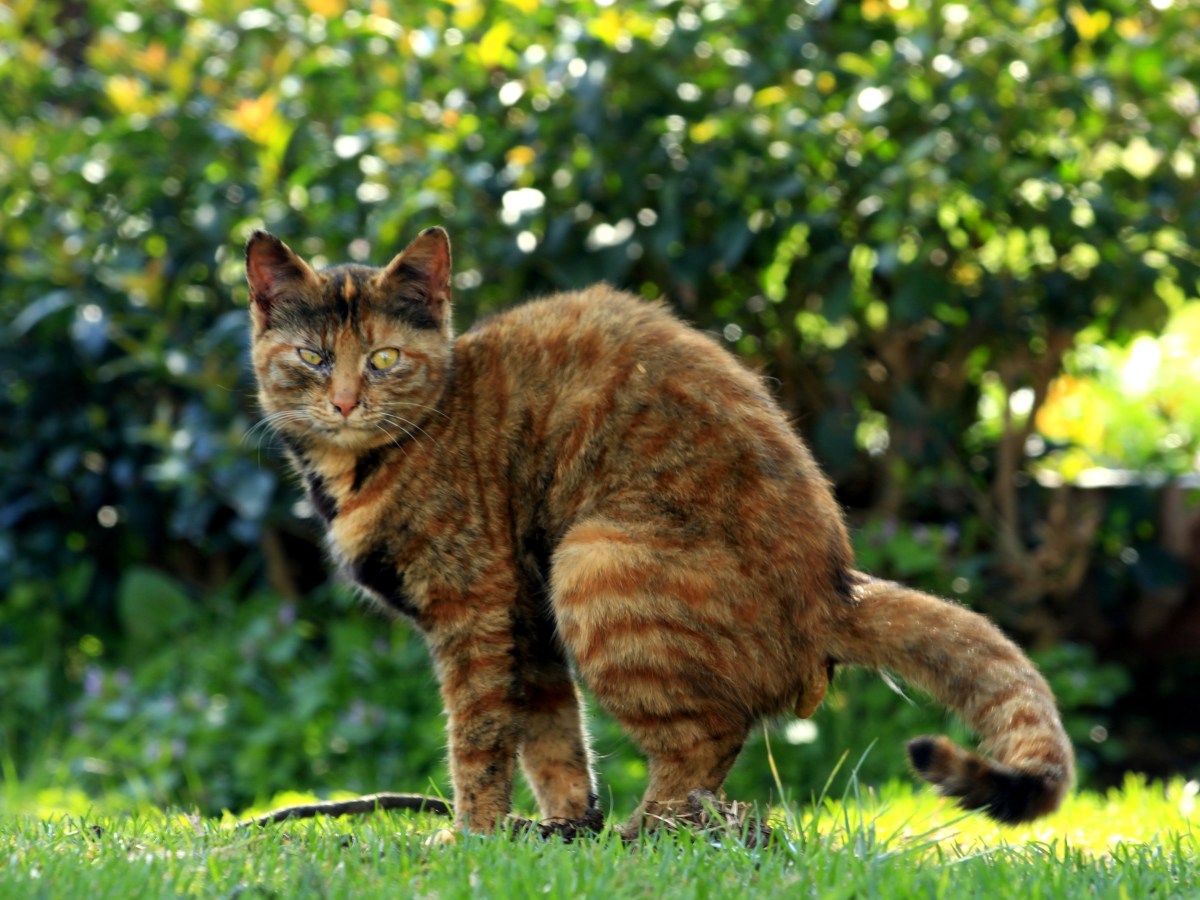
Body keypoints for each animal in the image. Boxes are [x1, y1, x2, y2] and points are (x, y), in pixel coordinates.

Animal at [246, 226, 1080, 840]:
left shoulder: (474, 610)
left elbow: (478, 739)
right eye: (312, 357)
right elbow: (553, 734)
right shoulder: (523, 618)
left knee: (705, 741)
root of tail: (836, 590)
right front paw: (560, 830)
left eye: (384, 357)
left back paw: (644, 834)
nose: (345, 402)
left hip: (596, 564)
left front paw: (471, 838)